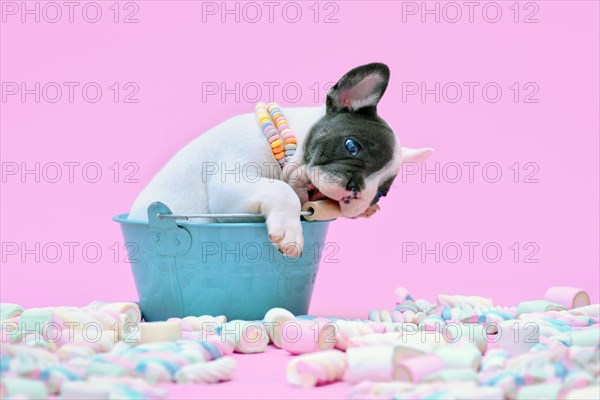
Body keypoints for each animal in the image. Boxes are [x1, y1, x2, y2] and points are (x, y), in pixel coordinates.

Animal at [129, 62, 434, 256]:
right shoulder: (230, 184)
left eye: (381, 194)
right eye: (351, 145)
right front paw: (290, 233)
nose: (357, 191)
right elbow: (280, 190)